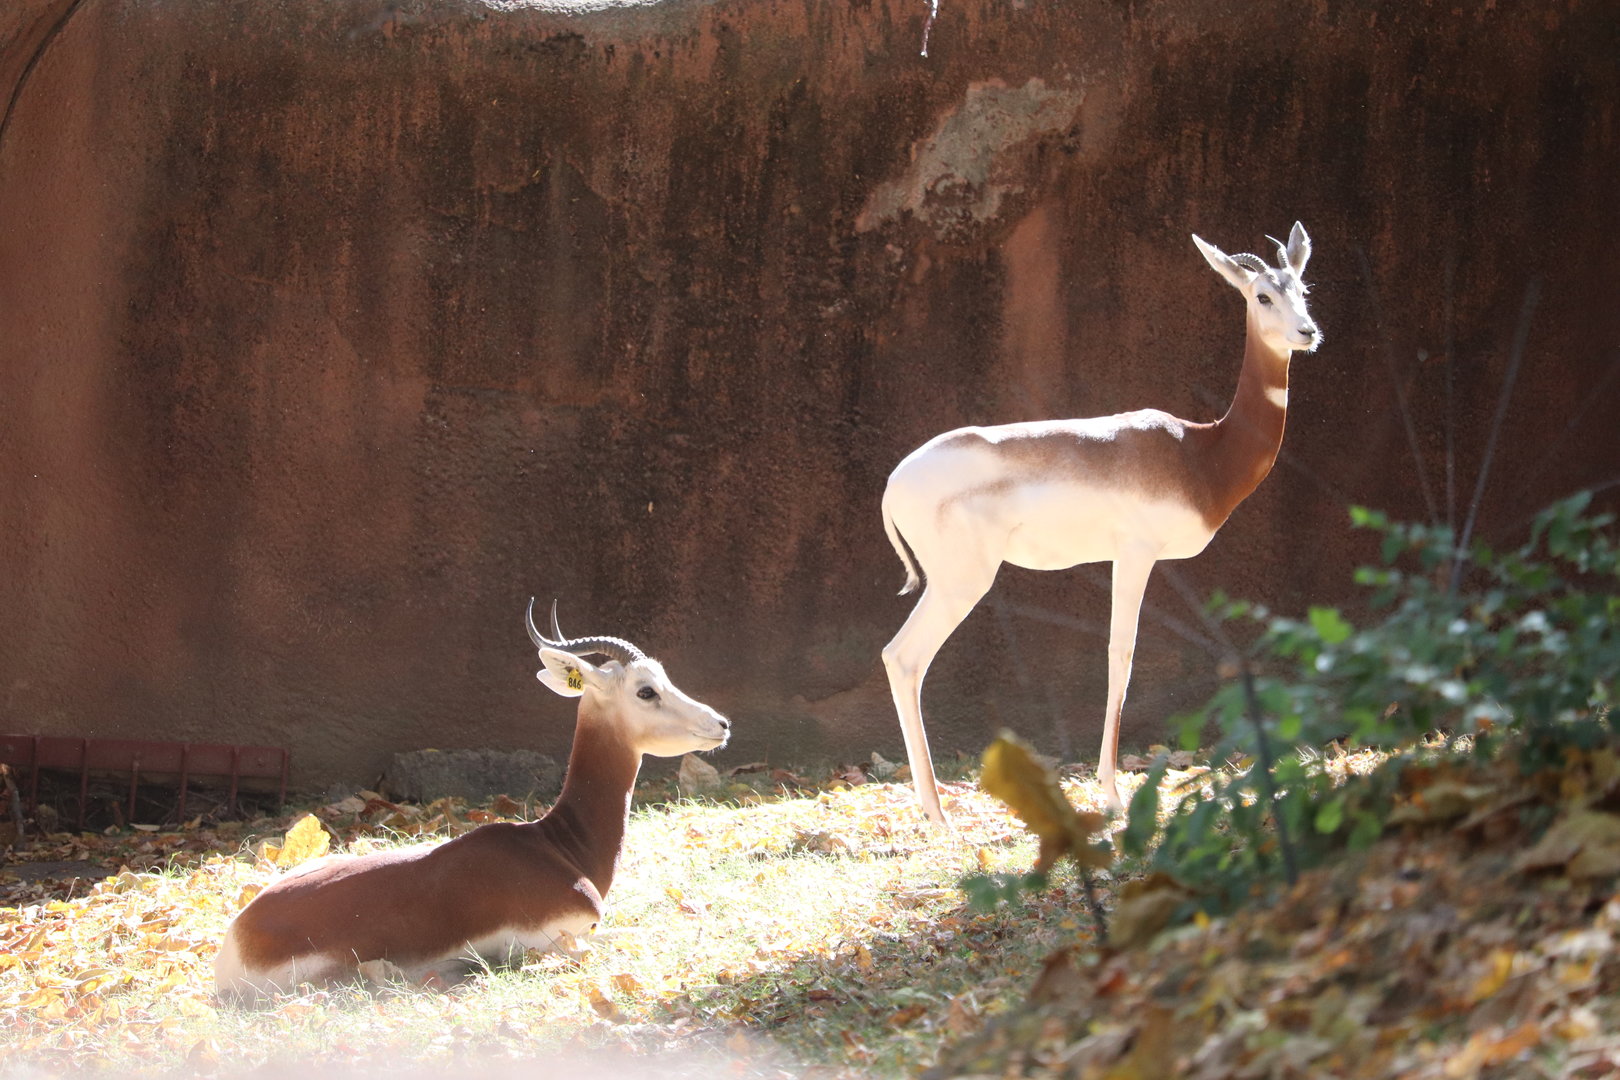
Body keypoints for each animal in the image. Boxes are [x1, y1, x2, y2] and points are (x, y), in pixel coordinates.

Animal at [881, 223, 1320, 822]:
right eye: (1262, 296)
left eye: (1303, 288)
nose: (1308, 332)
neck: (1198, 454)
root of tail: (892, 482)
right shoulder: (1136, 553)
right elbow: (1122, 656)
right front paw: (1113, 795)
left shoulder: (1121, 556)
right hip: (961, 583)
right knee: (904, 658)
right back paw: (938, 814)